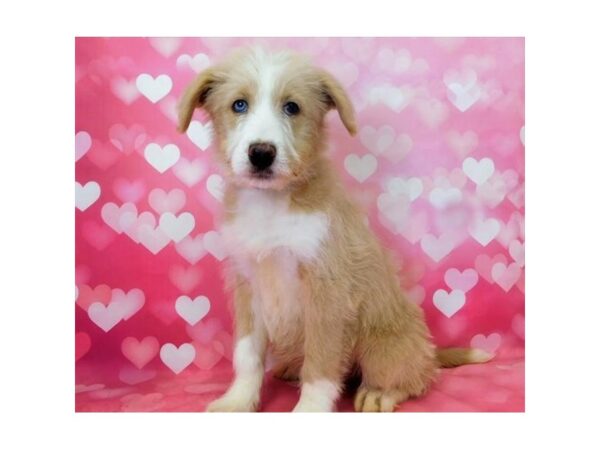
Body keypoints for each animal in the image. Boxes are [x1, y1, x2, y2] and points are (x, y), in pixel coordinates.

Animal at [176, 46, 490, 412]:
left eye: (292, 107)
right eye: (239, 105)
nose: (261, 153)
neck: (272, 204)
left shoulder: (327, 291)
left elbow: (322, 362)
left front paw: (310, 409)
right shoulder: (248, 285)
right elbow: (247, 354)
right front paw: (238, 400)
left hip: (383, 344)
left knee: (412, 374)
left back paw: (380, 392)